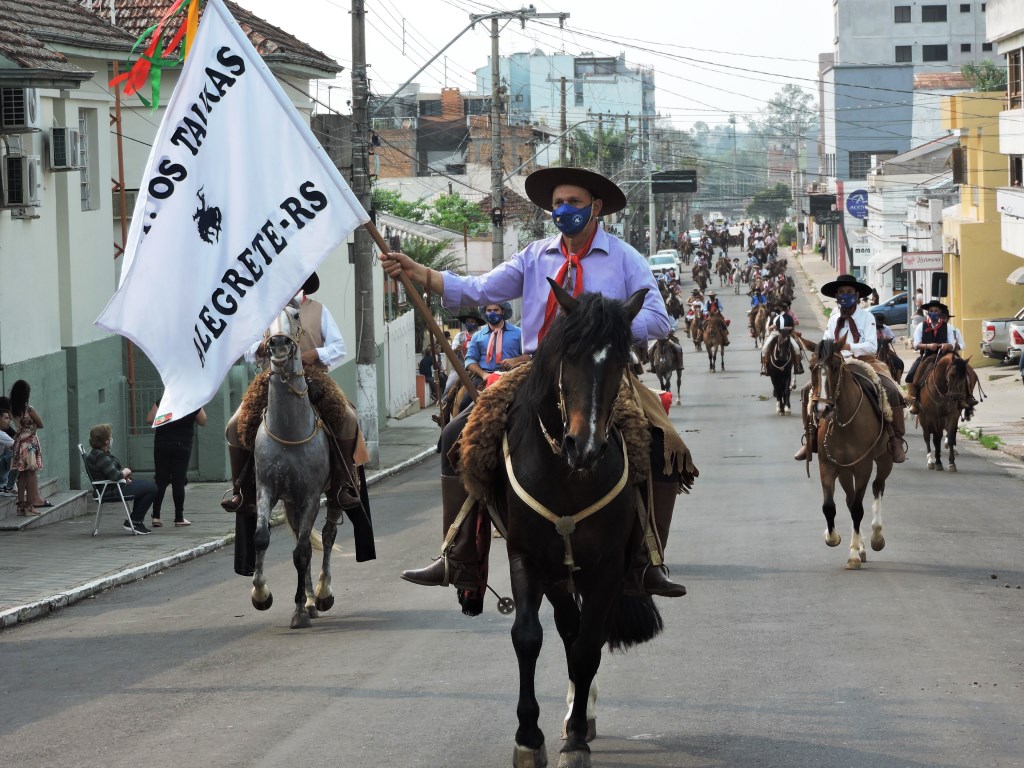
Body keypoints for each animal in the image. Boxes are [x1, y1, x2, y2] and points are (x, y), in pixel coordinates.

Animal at [806, 339, 888, 569]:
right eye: (811, 367)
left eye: (835, 367)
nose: (822, 408)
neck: (844, 423)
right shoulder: (827, 466)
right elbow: (829, 507)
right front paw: (832, 537)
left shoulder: (863, 468)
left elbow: (858, 510)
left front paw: (852, 556)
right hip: (844, 471)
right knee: (850, 500)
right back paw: (861, 547)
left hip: (884, 460)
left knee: (877, 487)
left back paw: (876, 537)